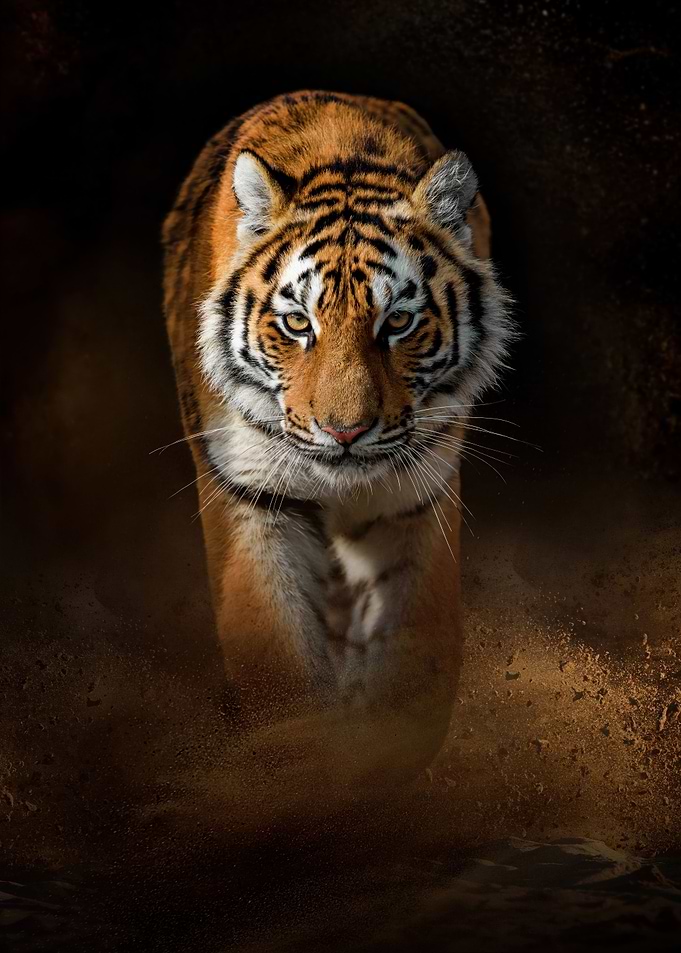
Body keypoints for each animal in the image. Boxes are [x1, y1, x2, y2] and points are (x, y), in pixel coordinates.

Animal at [162, 90, 514, 768]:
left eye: (398, 321)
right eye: (298, 323)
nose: (344, 432)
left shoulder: (416, 501)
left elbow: (414, 667)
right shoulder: (252, 499)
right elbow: (282, 678)